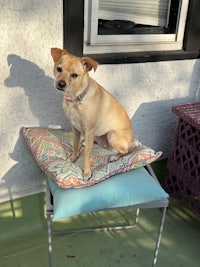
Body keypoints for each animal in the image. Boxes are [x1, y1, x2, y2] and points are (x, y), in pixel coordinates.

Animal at [50, 48, 134, 180]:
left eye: (74, 75)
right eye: (59, 69)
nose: (61, 84)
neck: (76, 98)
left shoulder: (89, 130)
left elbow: (86, 154)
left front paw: (86, 172)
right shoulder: (75, 127)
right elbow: (75, 144)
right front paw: (73, 157)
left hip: (112, 135)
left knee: (126, 151)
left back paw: (114, 156)